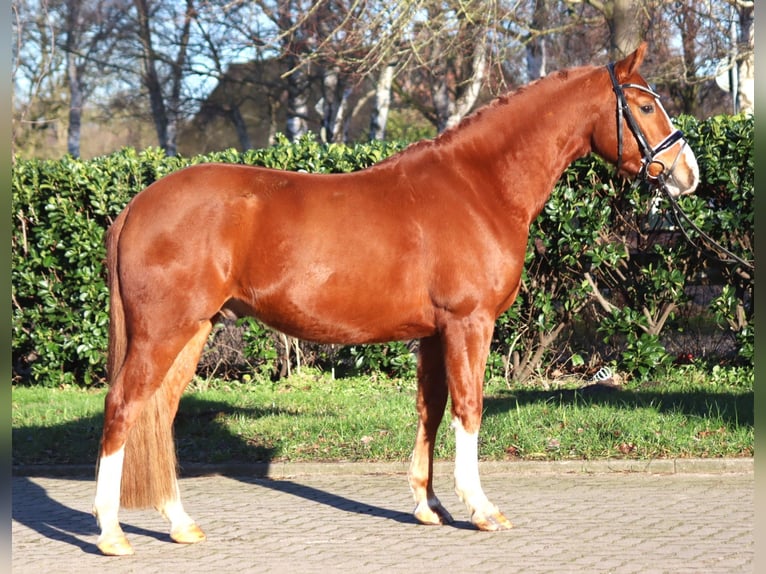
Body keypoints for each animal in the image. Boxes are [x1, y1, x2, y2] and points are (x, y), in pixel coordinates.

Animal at [93, 42, 700, 556]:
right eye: (645, 106)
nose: (687, 175)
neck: (479, 186)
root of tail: (137, 206)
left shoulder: (433, 333)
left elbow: (431, 409)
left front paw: (429, 506)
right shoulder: (468, 323)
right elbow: (469, 407)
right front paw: (481, 509)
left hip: (194, 330)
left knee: (159, 414)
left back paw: (179, 523)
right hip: (163, 331)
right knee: (123, 406)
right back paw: (111, 532)